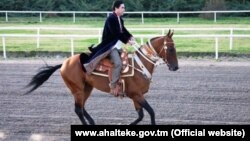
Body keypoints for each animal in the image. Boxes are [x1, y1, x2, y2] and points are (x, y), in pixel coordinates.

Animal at [24, 29, 178, 124]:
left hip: (86, 88)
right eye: (170, 48)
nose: (175, 67)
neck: (140, 65)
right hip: (77, 89)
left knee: (82, 107)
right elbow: (151, 112)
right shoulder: (136, 94)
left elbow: (141, 115)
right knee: (78, 109)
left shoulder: (136, 96)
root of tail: (64, 63)